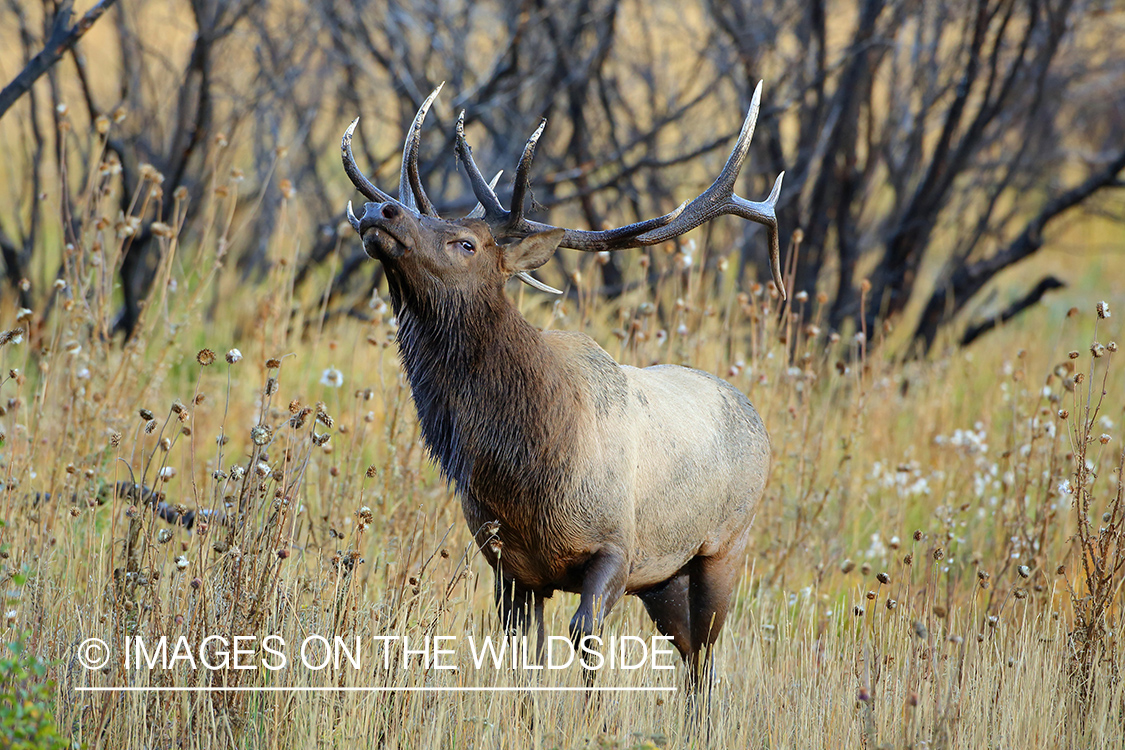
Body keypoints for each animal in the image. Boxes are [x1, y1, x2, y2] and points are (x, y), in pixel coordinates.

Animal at [341, 81, 784, 685]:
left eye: (466, 244)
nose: (380, 209)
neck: (525, 469)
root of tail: (754, 414)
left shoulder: (617, 547)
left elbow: (586, 639)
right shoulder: (509, 565)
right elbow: (519, 652)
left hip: (723, 544)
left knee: (707, 654)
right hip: (664, 578)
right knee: (691, 649)